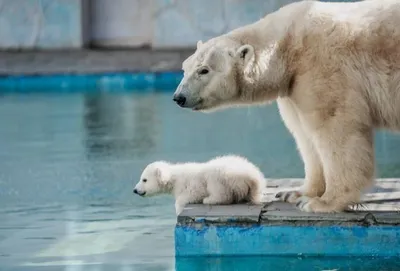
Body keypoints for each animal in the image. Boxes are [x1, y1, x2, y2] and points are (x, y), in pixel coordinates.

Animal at [173, 0, 400, 214]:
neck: (288, 44)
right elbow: (305, 135)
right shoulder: (293, 84)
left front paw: (322, 202)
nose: (179, 97)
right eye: (185, 68)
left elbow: (335, 127)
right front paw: (296, 194)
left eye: (204, 70)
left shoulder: (323, 66)